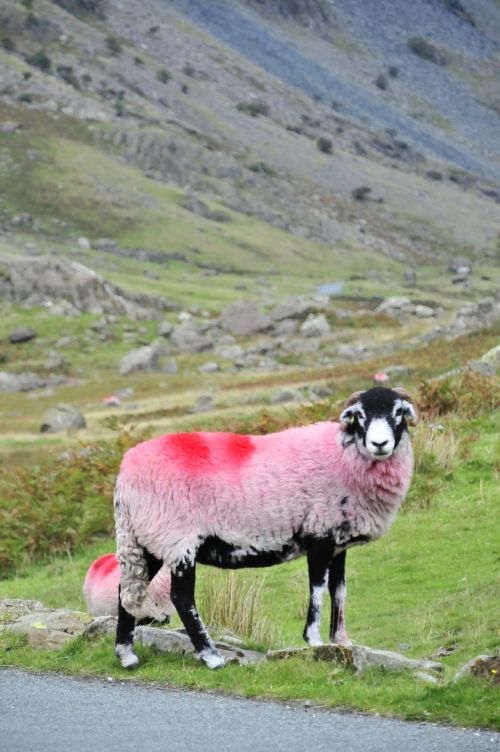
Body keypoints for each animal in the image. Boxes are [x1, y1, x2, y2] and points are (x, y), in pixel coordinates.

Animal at [113, 388, 414, 668]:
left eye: (398, 412)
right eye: (359, 415)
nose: (379, 444)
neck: (343, 455)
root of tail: (125, 473)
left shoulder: (339, 543)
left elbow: (339, 590)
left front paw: (341, 641)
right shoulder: (319, 535)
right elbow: (318, 589)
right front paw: (314, 641)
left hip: (147, 538)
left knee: (125, 590)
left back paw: (126, 654)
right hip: (176, 539)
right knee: (181, 598)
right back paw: (210, 655)